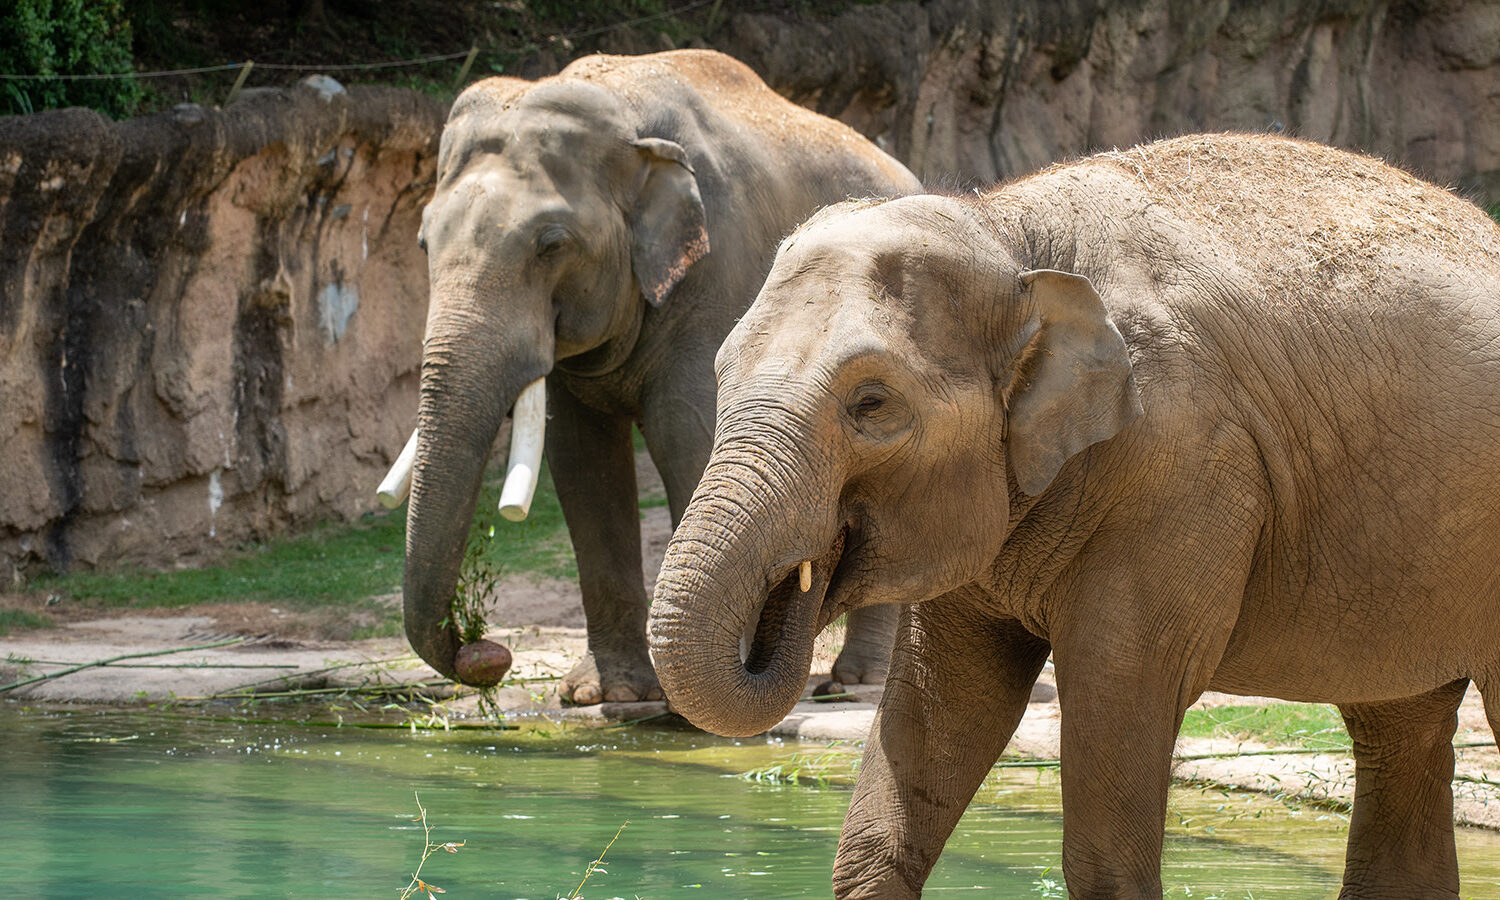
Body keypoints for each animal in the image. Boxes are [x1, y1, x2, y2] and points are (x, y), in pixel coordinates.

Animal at [403, 50, 919, 704]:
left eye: (551, 245)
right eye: (423, 242)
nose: (489, 652)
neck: (625, 118)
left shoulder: (717, 273)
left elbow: (685, 433)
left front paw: (696, 698)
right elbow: (581, 459)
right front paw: (608, 695)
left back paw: (853, 684)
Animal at [649, 133, 1500, 897]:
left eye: (872, 404)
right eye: (722, 370)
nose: (797, 586)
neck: (1007, 233)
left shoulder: (1183, 466)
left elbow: (1114, 708)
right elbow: (937, 711)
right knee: (1398, 731)